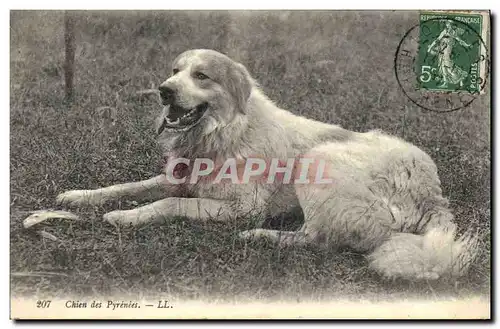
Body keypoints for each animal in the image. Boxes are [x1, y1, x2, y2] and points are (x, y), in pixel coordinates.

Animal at [56, 48, 478, 280]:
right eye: (175, 71)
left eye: (201, 75)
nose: (163, 90)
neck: (225, 131)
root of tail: (433, 194)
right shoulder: (177, 178)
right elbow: (127, 187)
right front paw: (79, 196)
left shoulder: (241, 207)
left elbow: (167, 203)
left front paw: (126, 217)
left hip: (318, 160)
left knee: (317, 239)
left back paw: (261, 237)